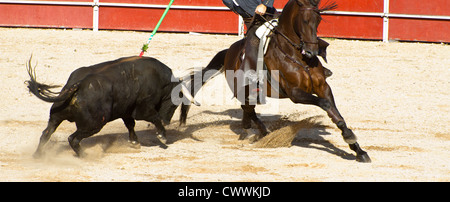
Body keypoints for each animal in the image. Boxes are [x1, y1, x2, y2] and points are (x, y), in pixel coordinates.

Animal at [26, 55, 197, 158]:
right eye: (175, 103)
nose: (167, 120)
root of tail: (77, 85)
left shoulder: (126, 110)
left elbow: (130, 125)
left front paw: (134, 142)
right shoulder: (143, 109)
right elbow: (153, 118)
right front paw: (162, 135)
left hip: (56, 117)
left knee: (46, 134)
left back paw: (37, 156)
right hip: (93, 124)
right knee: (72, 139)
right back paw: (86, 156)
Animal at [181, 0, 370, 162]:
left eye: (318, 20)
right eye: (304, 20)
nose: (311, 52)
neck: (297, 56)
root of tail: (229, 52)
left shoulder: (323, 86)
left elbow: (335, 112)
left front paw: (358, 149)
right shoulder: (295, 93)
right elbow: (325, 104)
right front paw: (350, 138)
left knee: (248, 109)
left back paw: (252, 130)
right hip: (243, 89)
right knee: (248, 109)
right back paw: (259, 132)